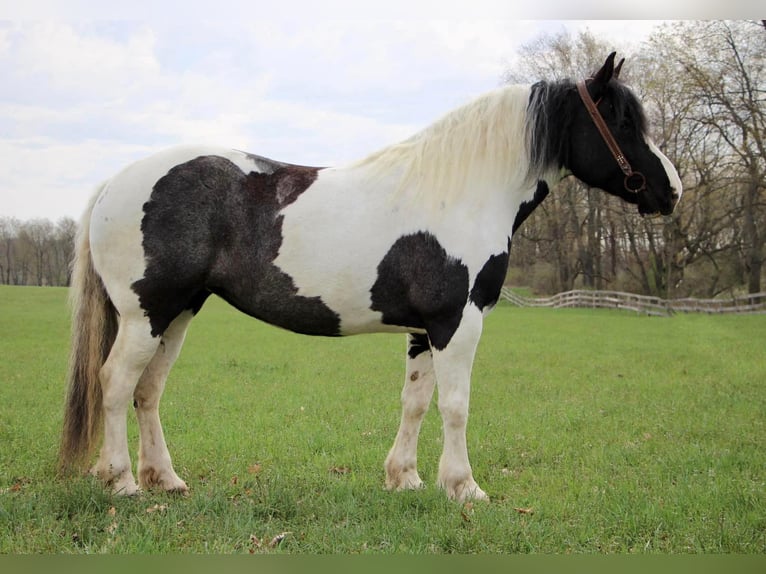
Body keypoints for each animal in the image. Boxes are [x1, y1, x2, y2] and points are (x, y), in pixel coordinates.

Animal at [60, 55, 684, 504]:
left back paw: (165, 479)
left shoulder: (425, 330)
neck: (464, 193)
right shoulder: (459, 322)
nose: (672, 190)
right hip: (146, 314)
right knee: (115, 383)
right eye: (623, 122)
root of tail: (115, 181)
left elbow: (416, 402)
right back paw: (121, 482)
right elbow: (456, 405)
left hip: (179, 313)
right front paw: (464, 487)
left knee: (147, 391)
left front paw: (405, 478)